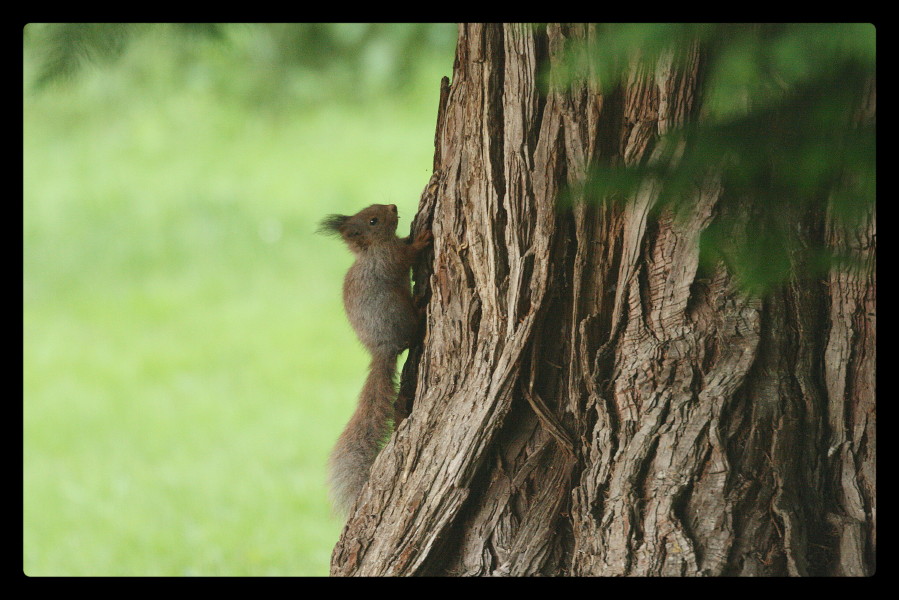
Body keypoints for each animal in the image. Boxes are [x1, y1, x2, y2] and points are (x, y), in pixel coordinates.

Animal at [320, 204, 432, 512]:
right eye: (373, 220)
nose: (393, 206)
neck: (374, 248)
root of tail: (383, 350)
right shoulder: (388, 259)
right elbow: (405, 257)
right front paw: (421, 239)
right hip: (397, 313)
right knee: (412, 333)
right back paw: (420, 310)